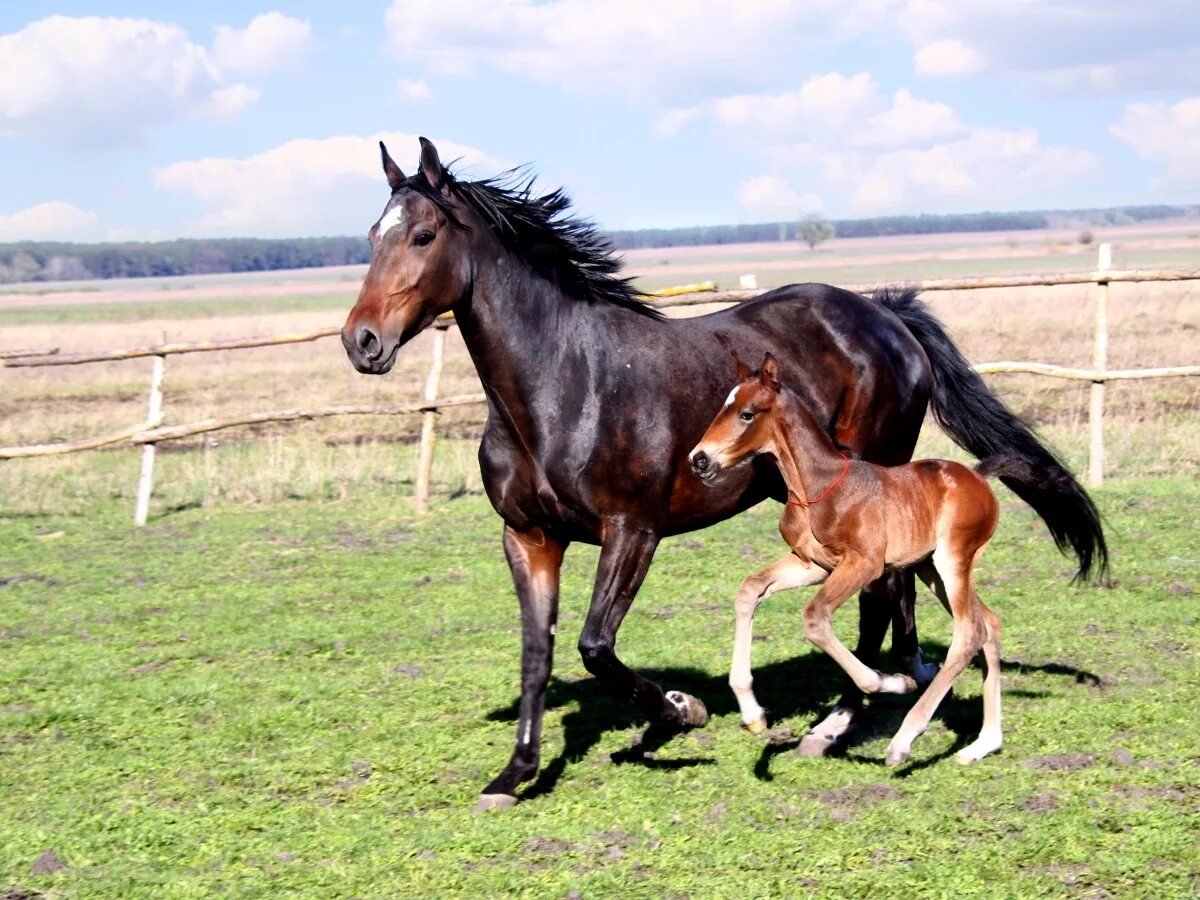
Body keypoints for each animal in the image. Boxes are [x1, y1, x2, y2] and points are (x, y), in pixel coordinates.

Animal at [691, 355, 1008, 768]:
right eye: (722, 406)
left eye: (747, 414)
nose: (699, 459)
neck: (816, 487)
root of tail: (979, 476)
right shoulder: (810, 564)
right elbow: (750, 589)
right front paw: (752, 712)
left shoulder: (864, 564)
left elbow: (815, 617)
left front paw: (892, 682)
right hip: (930, 568)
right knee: (989, 624)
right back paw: (983, 744)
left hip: (953, 560)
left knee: (969, 632)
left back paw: (904, 739)